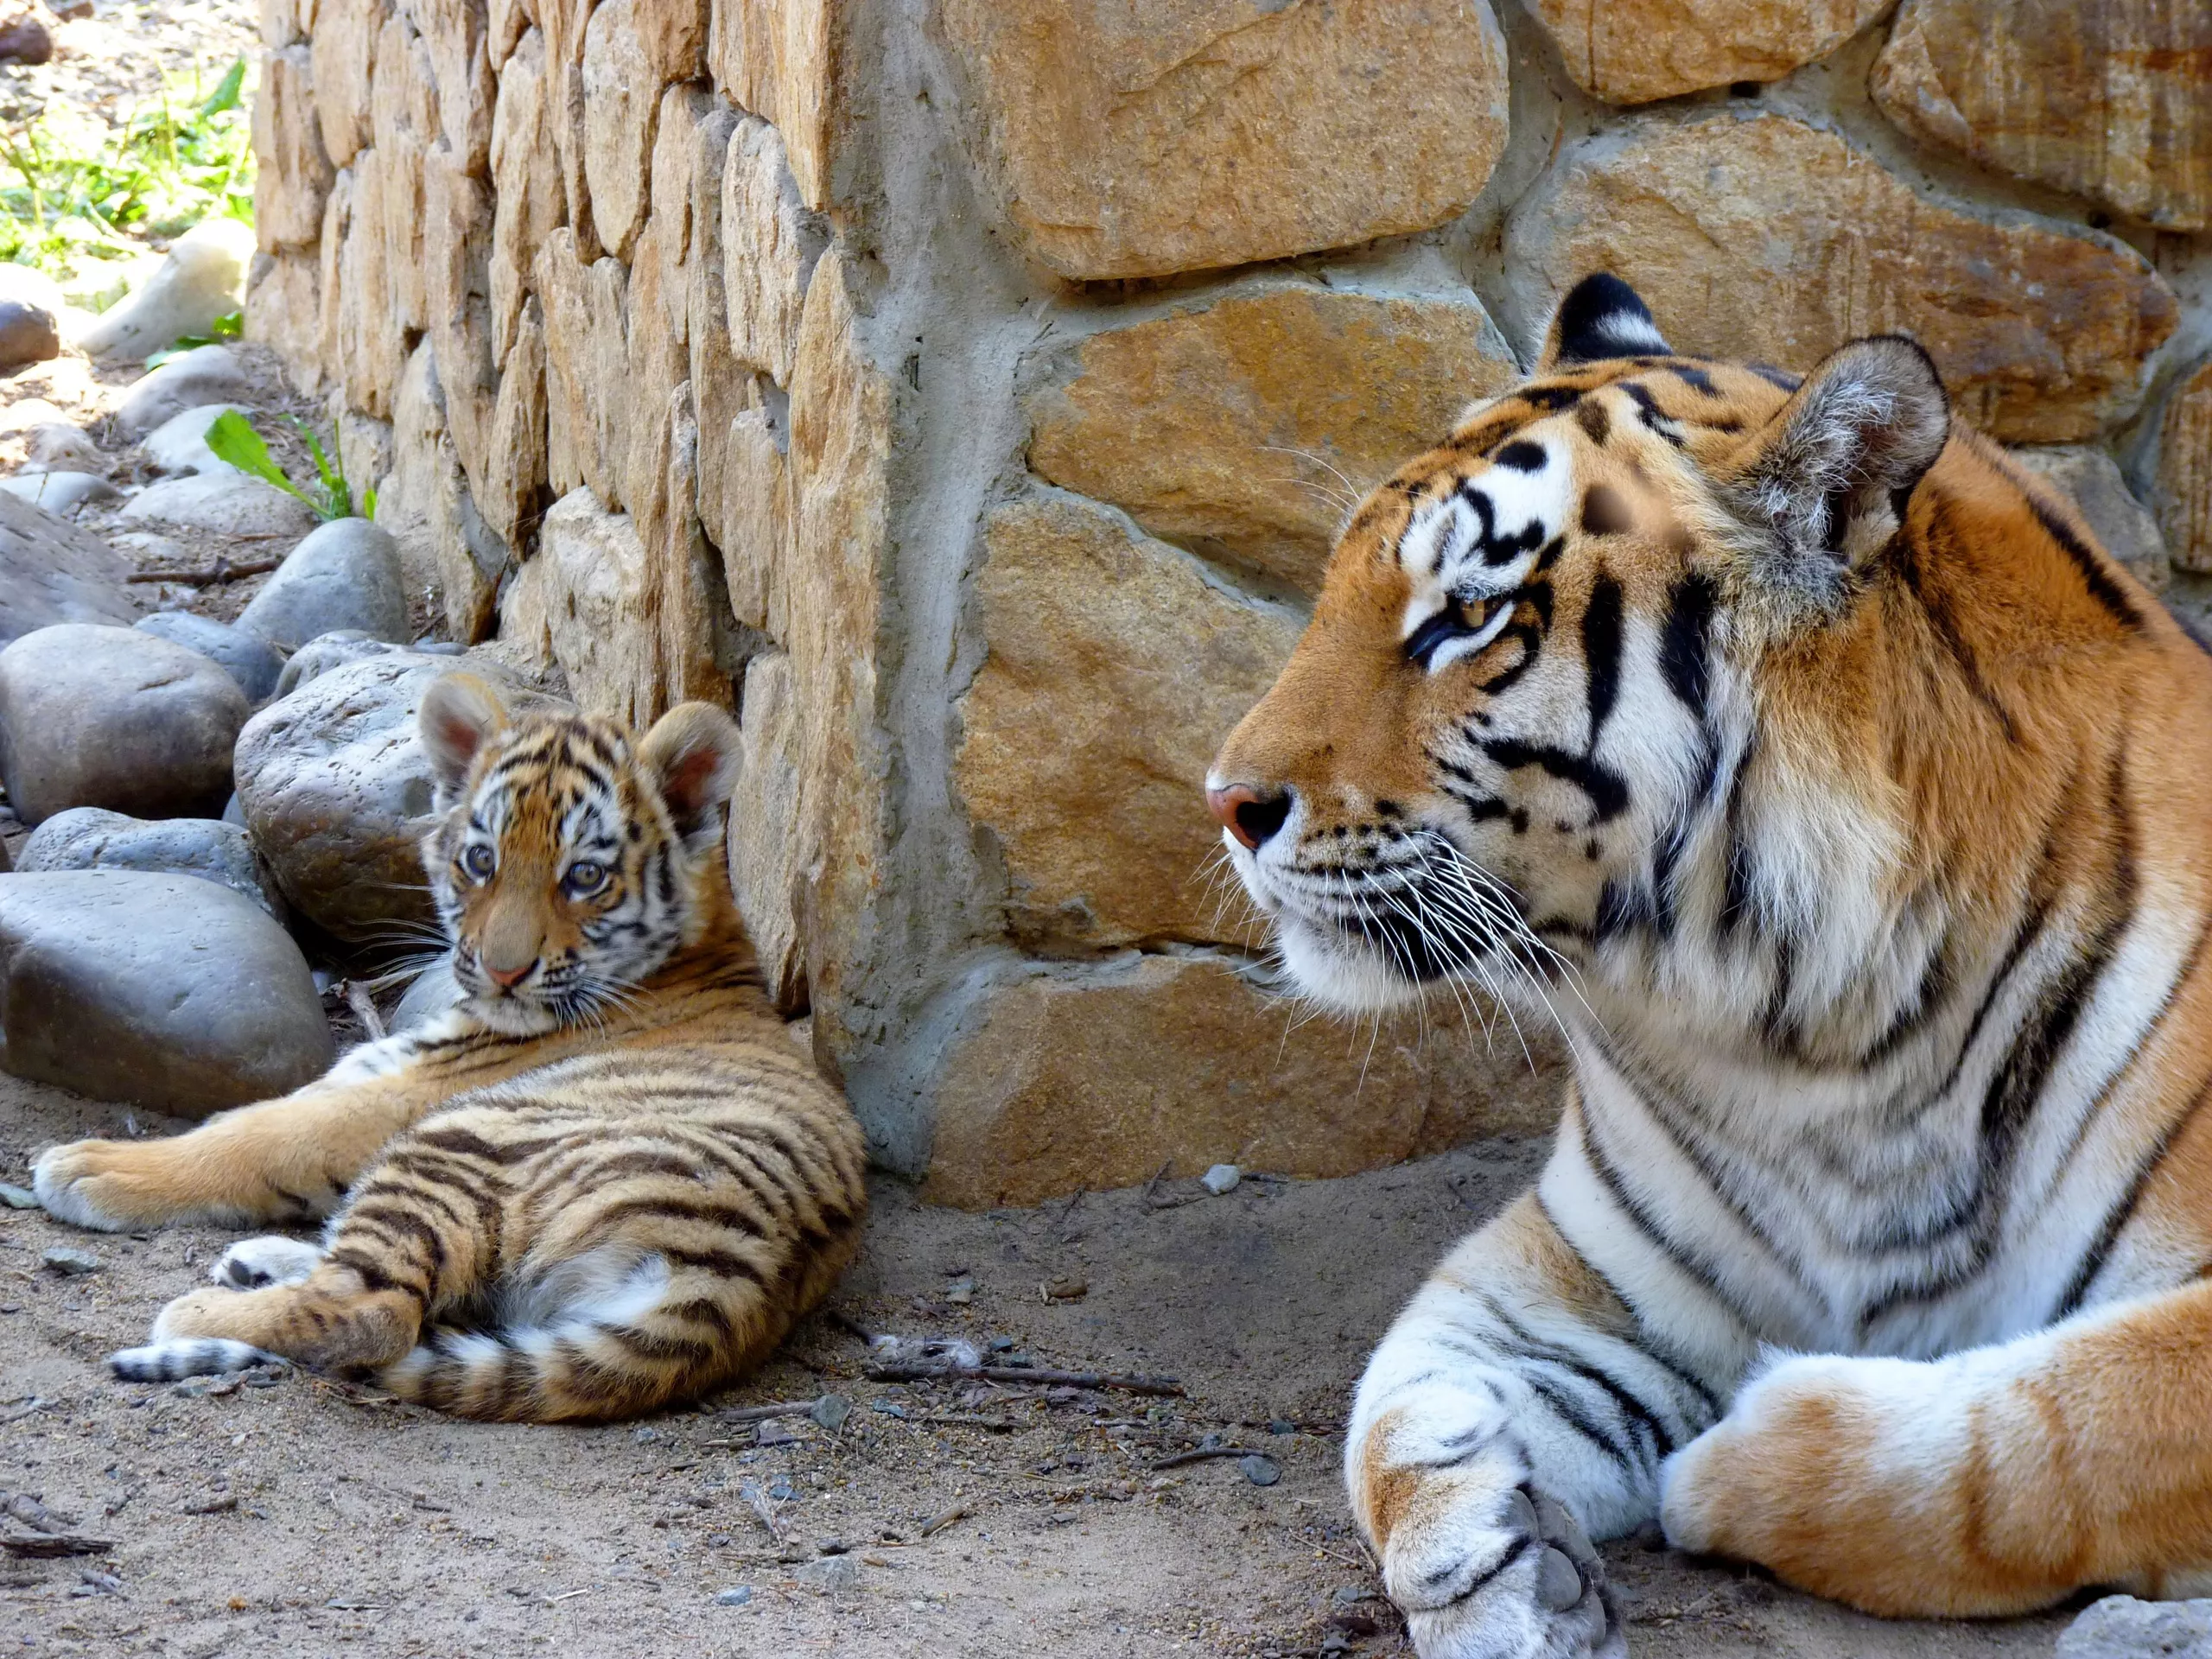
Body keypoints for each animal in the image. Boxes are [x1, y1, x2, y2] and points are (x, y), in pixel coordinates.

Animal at [36, 677, 862, 1433]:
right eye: (481, 860)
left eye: (585, 877)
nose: (502, 971)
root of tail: (737, 1286)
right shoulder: (376, 1069)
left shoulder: (400, 1097)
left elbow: (256, 1132)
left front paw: (89, 1168)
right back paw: (262, 1260)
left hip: (466, 1136)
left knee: (373, 1307)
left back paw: (202, 1310)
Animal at [1211, 279, 2212, 1654]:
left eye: (1466, 616)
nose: (1226, 803)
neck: (1811, 1039)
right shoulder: (1595, 1274)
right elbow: (1396, 1401)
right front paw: (1502, 1569)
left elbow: (2045, 1436)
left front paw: (1721, 1465)